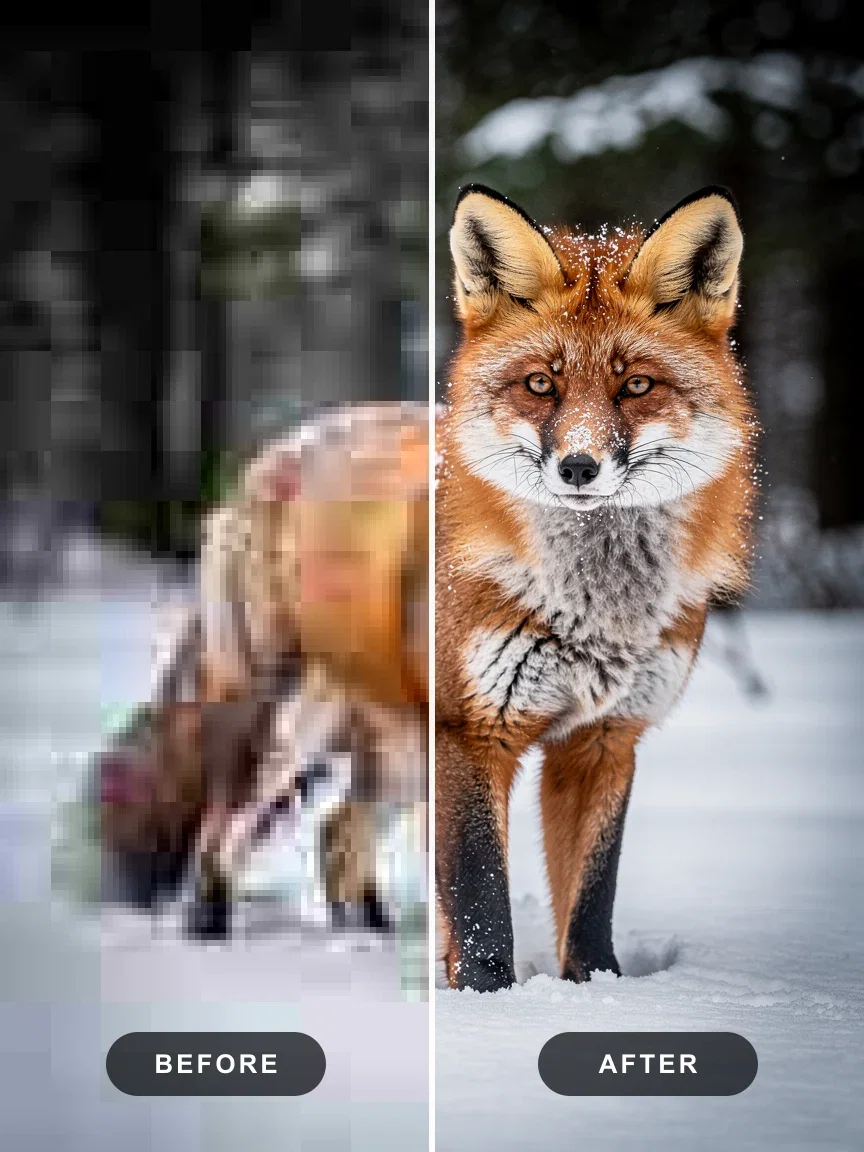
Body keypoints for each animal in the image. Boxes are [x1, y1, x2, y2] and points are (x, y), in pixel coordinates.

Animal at [436, 185, 757, 992]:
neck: (596, 614)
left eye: (635, 384)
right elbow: (480, 895)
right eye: (541, 384)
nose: (578, 468)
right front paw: (484, 1000)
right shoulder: (470, 731)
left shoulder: (607, 738)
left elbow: (591, 893)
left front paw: (598, 990)